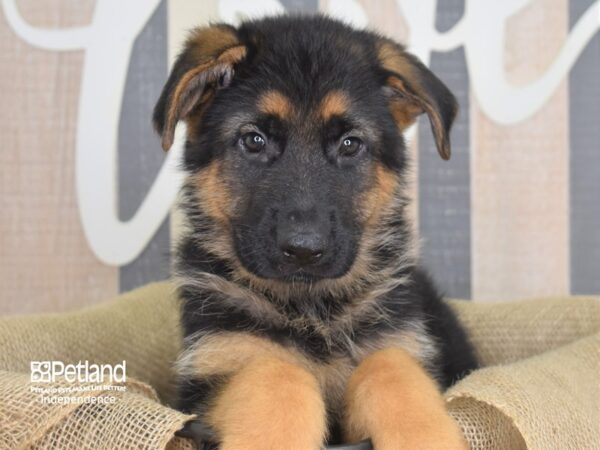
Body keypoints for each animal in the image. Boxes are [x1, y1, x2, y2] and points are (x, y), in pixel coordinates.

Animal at [154, 14, 478, 450]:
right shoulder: (214, 372)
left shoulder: (400, 341)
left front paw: (423, 435)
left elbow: (390, 365)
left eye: (350, 144)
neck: (311, 306)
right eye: (254, 140)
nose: (304, 250)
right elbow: (274, 371)